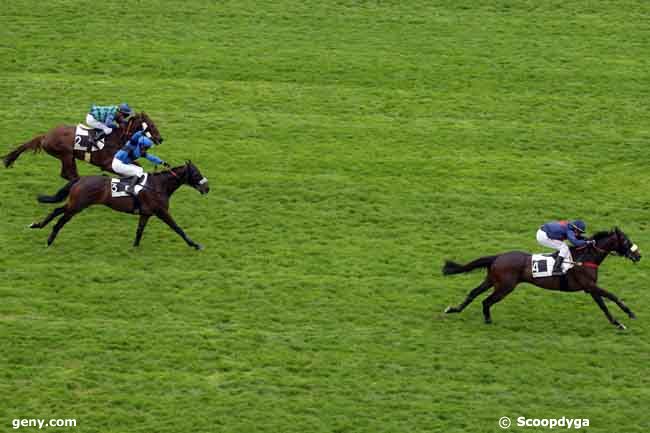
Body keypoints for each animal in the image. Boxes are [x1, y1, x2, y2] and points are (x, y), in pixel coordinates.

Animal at [2, 112, 163, 180]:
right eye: (152, 125)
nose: (161, 139)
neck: (118, 137)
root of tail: (45, 136)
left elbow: (137, 165)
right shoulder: (107, 164)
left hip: (68, 157)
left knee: (67, 174)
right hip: (66, 155)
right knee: (69, 174)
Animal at [29, 161, 208, 250]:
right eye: (196, 173)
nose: (207, 188)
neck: (158, 185)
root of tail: (80, 179)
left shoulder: (146, 213)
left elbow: (139, 231)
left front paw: (135, 247)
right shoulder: (161, 211)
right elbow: (178, 228)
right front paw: (195, 245)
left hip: (75, 204)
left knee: (57, 210)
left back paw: (37, 225)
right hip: (78, 205)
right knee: (61, 219)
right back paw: (49, 239)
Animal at [440, 228, 636, 330]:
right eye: (626, 242)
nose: (638, 255)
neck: (586, 257)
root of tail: (498, 256)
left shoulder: (590, 288)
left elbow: (603, 305)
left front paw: (617, 323)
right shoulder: (589, 285)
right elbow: (612, 296)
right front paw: (629, 314)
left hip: (492, 280)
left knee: (473, 293)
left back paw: (453, 309)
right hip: (505, 286)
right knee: (486, 301)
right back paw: (488, 320)